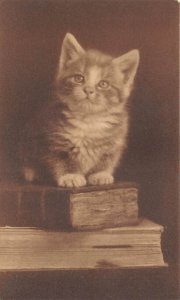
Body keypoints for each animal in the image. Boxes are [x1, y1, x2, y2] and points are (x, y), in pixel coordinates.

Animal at [19, 33, 139, 188]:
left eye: (103, 84)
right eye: (78, 78)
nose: (88, 90)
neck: (88, 119)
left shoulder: (115, 141)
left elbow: (107, 158)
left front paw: (100, 174)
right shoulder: (53, 137)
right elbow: (59, 158)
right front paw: (70, 176)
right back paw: (32, 172)